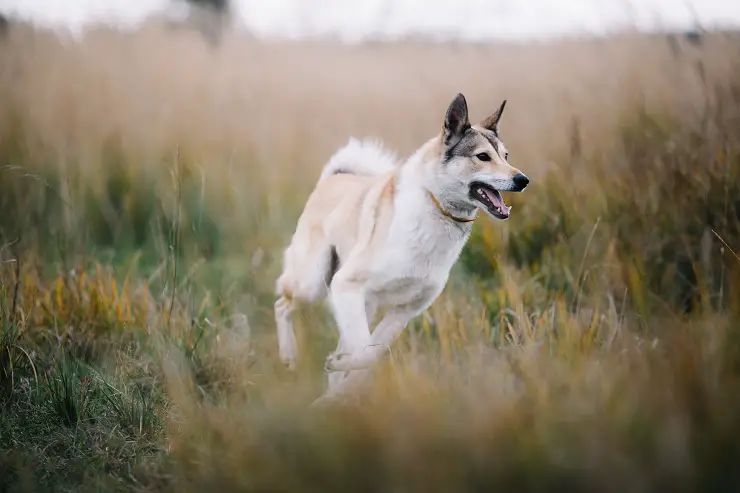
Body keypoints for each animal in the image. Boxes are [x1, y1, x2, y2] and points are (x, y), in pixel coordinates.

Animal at [274, 92, 528, 396]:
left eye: (506, 156)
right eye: (482, 156)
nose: (523, 180)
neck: (436, 212)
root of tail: (333, 178)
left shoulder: (404, 311)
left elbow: (375, 354)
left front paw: (339, 383)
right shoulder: (346, 283)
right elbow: (369, 353)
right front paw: (338, 372)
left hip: (361, 304)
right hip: (314, 284)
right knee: (281, 304)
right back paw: (289, 358)